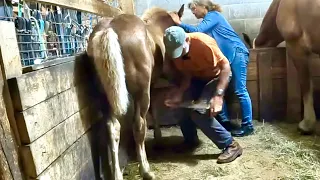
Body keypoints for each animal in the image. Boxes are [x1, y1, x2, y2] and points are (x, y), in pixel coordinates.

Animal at [85, 4, 185, 180]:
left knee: (113, 128)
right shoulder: (151, 86)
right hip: (140, 93)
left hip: (106, 96)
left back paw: (117, 174)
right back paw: (145, 170)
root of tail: (109, 28)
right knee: (139, 125)